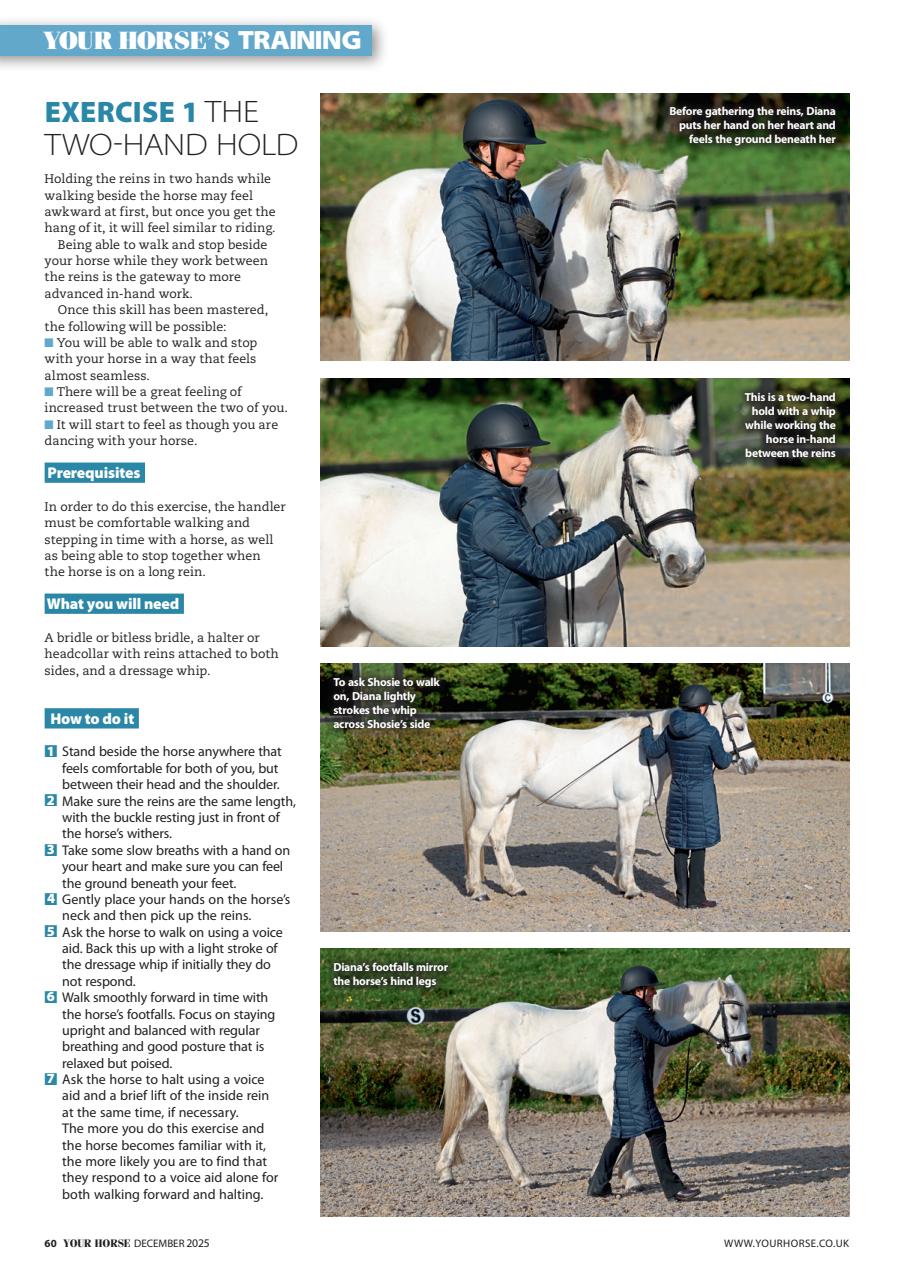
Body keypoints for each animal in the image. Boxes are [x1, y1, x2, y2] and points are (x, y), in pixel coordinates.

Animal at [346, 150, 687, 361]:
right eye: (616, 235)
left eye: (673, 238)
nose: (649, 323)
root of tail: (372, 196)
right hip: (381, 323)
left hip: (427, 323)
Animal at [436, 977, 751, 1190]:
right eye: (734, 1015)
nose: (745, 1056)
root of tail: (465, 1022)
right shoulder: (612, 1094)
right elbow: (626, 1134)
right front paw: (623, 1178)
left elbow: (630, 1134)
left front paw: (624, 1177)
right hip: (497, 1088)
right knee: (497, 1130)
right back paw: (524, 1178)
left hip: (481, 1090)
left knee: (459, 1123)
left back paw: (446, 1173)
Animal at [458, 695, 759, 901]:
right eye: (739, 727)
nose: (753, 763)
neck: (647, 749)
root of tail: (475, 740)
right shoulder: (631, 806)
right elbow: (628, 845)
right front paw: (632, 889)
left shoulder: (624, 808)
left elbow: (619, 842)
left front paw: (619, 882)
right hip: (489, 805)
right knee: (475, 838)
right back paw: (478, 890)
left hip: (508, 801)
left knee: (497, 840)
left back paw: (513, 887)